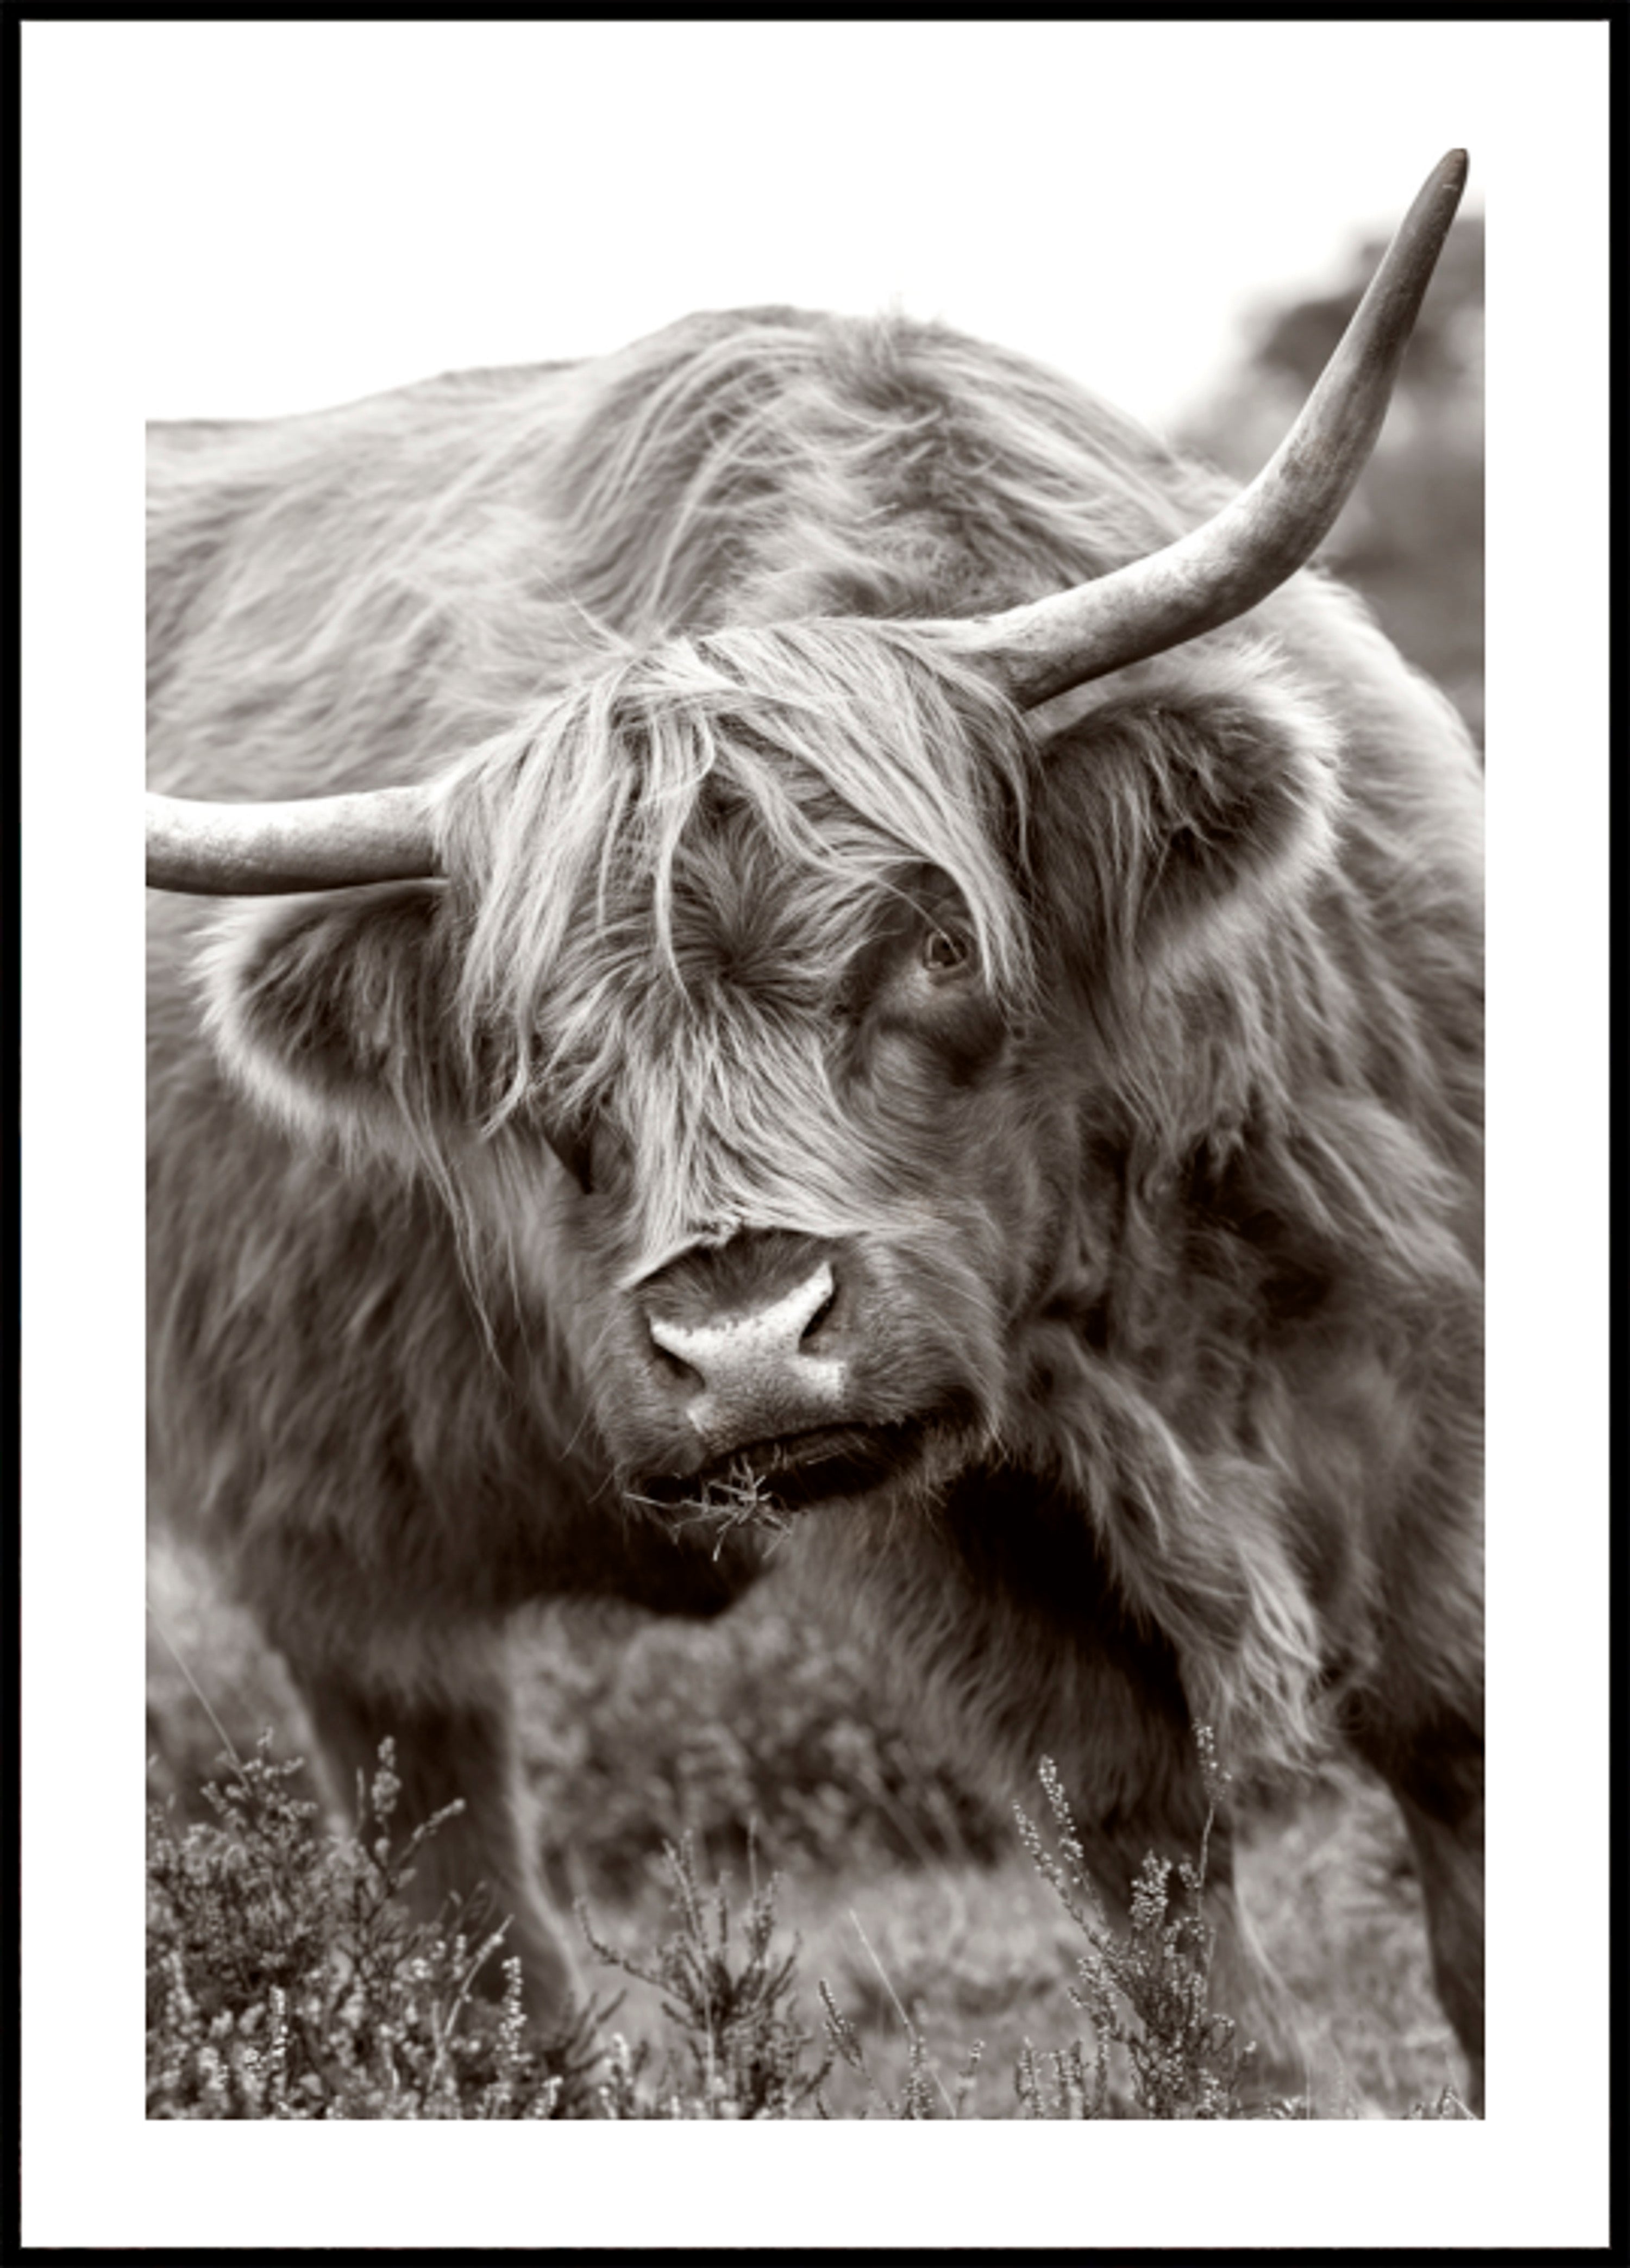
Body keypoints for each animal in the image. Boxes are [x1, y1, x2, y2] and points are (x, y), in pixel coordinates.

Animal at [147, 153, 1483, 2112]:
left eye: (934, 944)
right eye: (537, 1051)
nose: (745, 1342)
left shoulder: (1429, 1352)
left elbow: (1455, 1741)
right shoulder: (961, 1538)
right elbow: (1146, 1857)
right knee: (447, 1845)